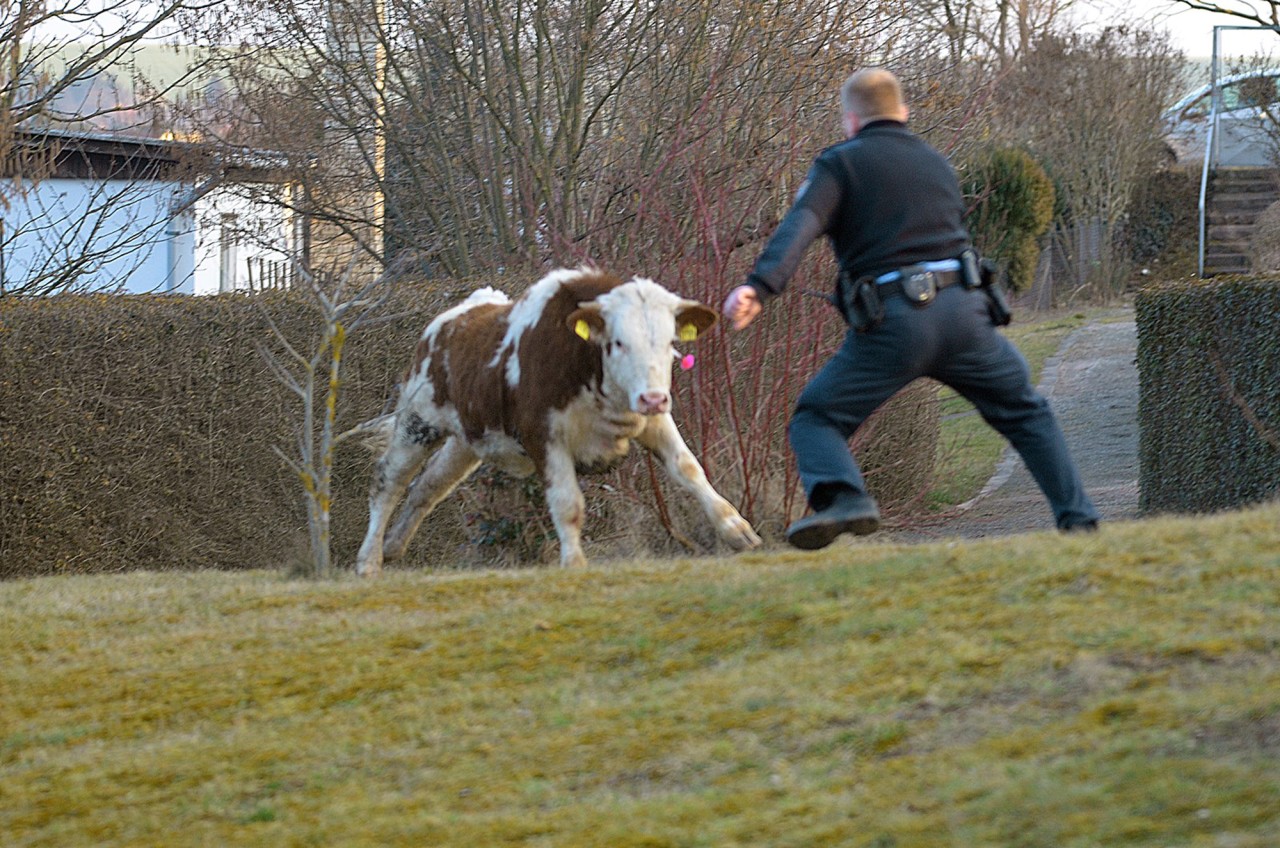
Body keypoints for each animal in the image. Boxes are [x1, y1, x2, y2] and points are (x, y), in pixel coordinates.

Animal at [353, 267, 757, 571]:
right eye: (618, 342)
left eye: (671, 341)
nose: (653, 397)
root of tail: (458, 315)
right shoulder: (543, 434)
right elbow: (567, 502)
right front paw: (574, 563)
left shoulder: (654, 421)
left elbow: (688, 468)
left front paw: (735, 528)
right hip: (417, 423)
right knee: (388, 483)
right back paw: (369, 560)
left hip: (466, 440)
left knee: (429, 486)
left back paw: (393, 544)